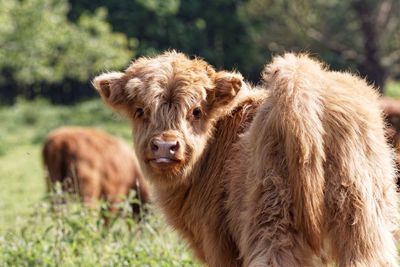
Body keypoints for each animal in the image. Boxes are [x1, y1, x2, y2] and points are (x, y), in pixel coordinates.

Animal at [93, 52, 396, 267]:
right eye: (140, 110)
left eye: (196, 110)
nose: (165, 146)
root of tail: (303, 87)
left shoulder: (219, 244)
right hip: (363, 219)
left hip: (271, 214)